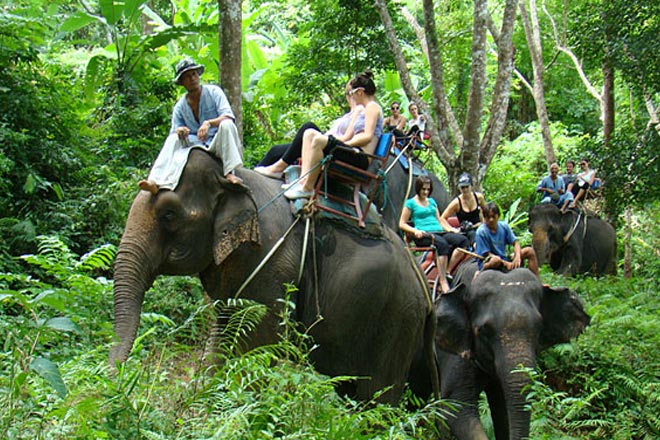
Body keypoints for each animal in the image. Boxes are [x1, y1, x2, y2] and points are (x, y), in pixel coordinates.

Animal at [110, 150, 436, 404]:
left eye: (168, 214)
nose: (113, 381)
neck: (232, 177)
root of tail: (422, 281)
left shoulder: (271, 265)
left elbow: (256, 345)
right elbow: (222, 335)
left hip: (396, 319)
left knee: (377, 397)